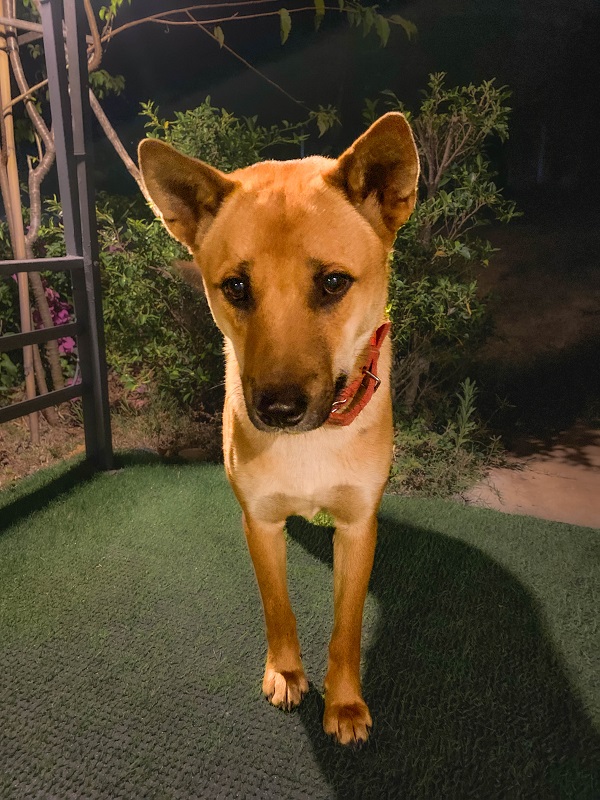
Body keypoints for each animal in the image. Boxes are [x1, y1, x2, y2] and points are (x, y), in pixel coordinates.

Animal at [138, 115, 420, 748]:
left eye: (334, 282)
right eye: (236, 287)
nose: (278, 409)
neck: (312, 440)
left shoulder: (357, 527)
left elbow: (347, 626)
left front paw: (344, 703)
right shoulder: (260, 522)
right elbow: (277, 607)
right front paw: (287, 673)